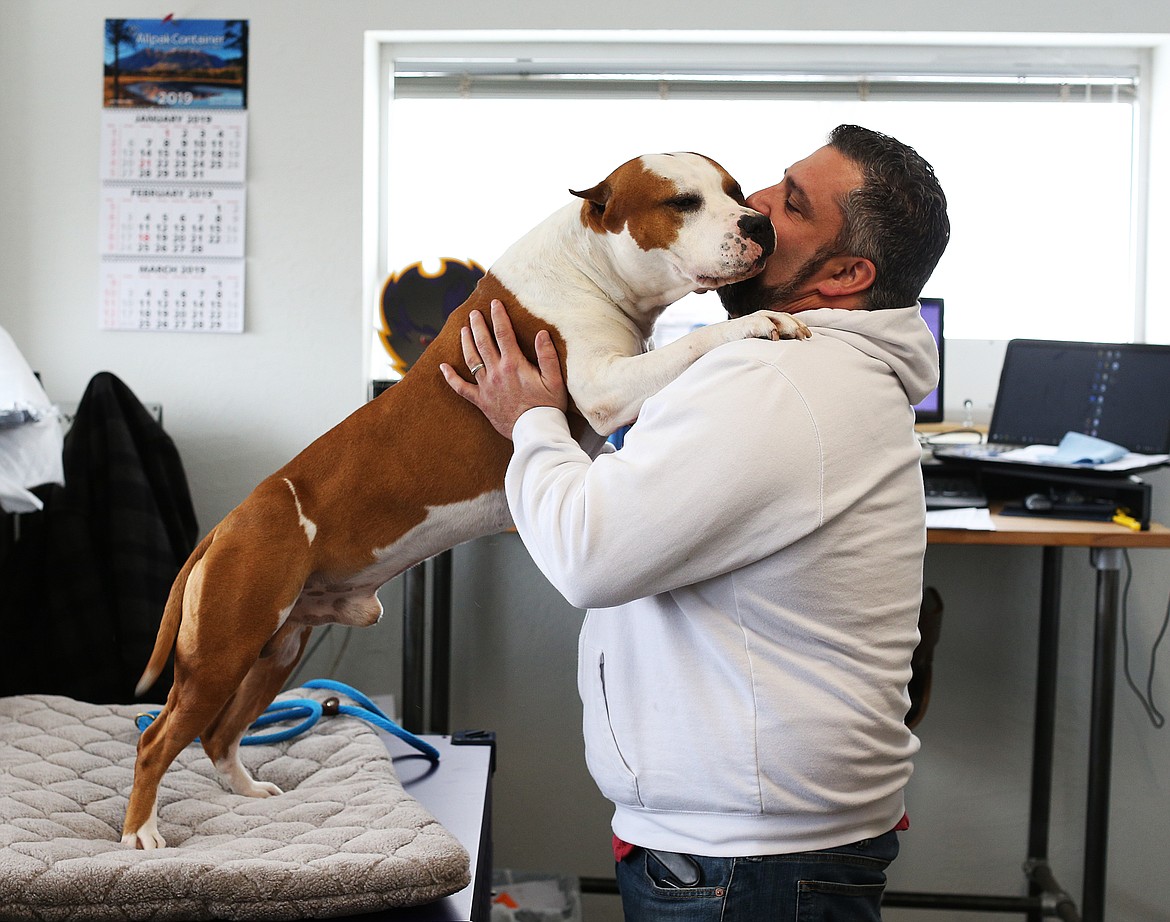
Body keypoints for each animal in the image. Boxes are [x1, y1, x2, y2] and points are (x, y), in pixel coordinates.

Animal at [123, 153, 809, 851]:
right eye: (683, 203)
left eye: (737, 192)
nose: (758, 224)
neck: (588, 264)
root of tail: (229, 524)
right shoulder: (606, 388)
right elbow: (692, 342)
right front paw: (759, 322)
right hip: (222, 654)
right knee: (158, 739)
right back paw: (140, 836)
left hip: (277, 651)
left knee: (218, 735)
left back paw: (246, 791)